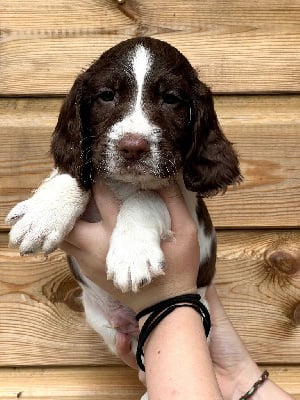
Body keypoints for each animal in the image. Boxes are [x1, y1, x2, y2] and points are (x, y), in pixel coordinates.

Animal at [5, 36, 241, 366]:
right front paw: (43, 215)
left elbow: (146, 196)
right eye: (106, 96)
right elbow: (73, 174)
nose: (133, 147)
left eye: (171, 99)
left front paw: (132, 255)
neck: (125, 183)